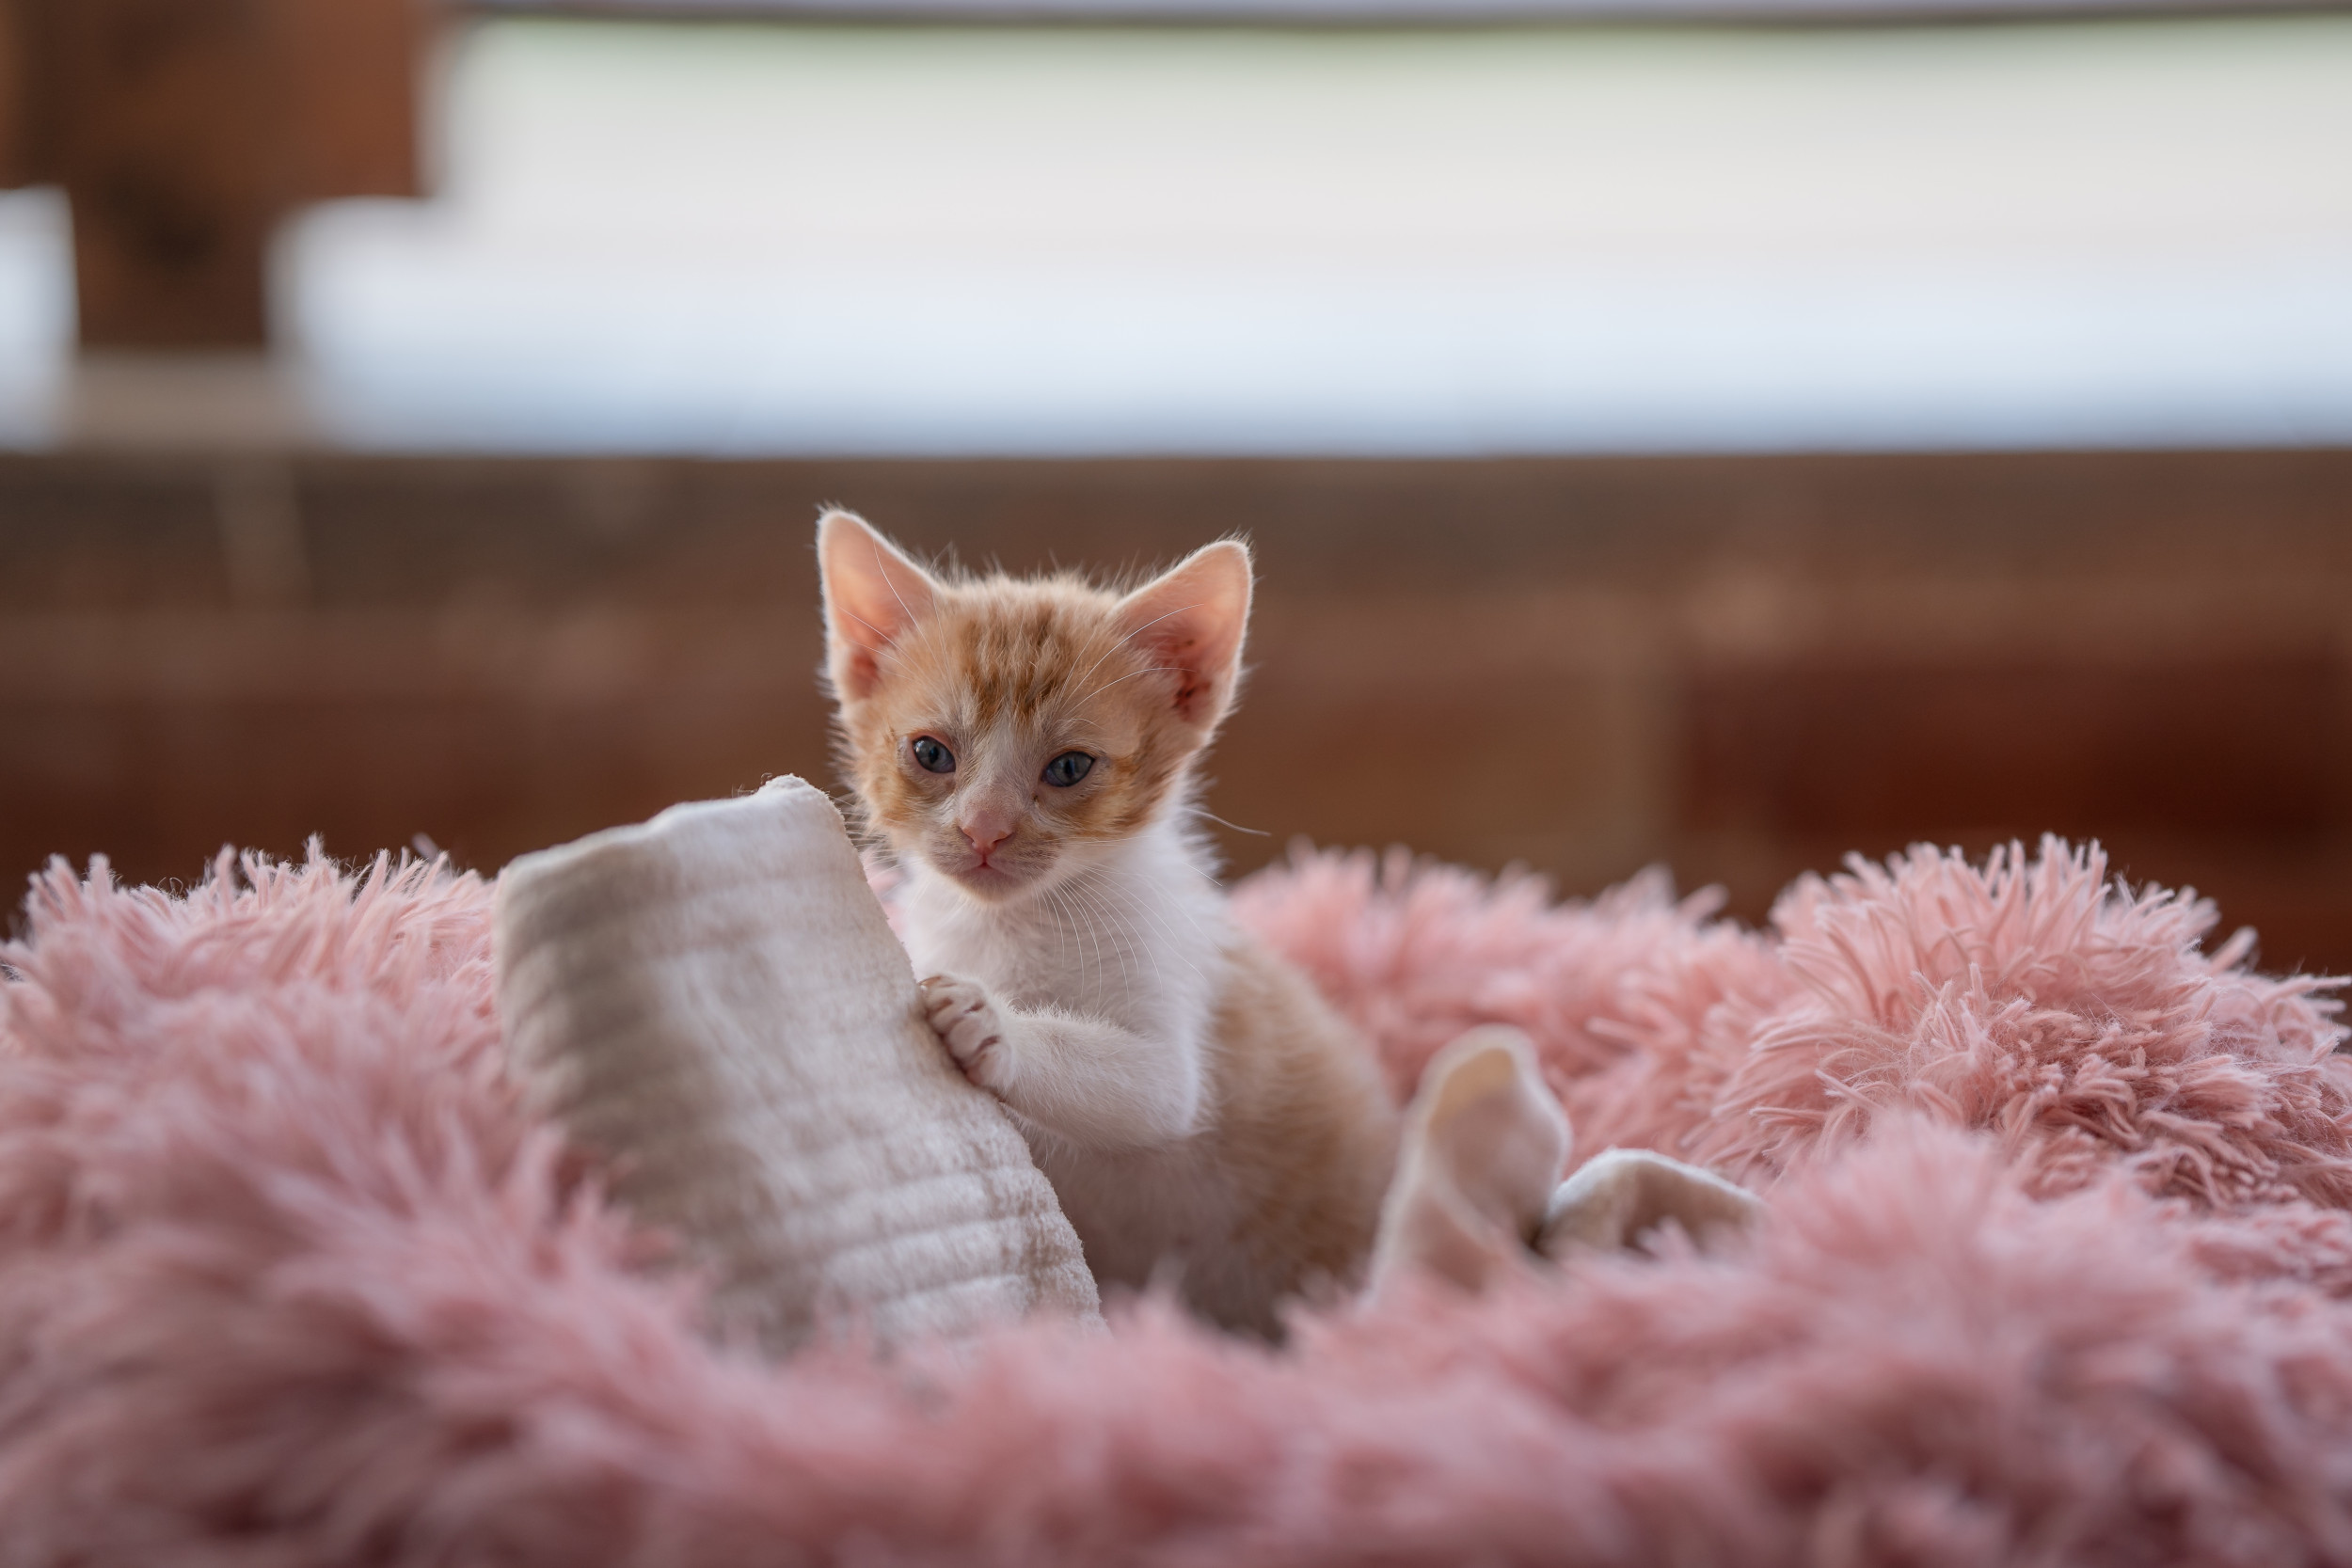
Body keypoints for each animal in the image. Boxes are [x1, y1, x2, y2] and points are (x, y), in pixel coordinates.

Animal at [818, 512, 1392, 1335]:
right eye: (931, 752)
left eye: (1068, 768)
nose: (984, 827)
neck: (1015, 924)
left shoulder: (1172, 997)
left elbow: (1147, 1088)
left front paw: (989, 1022)